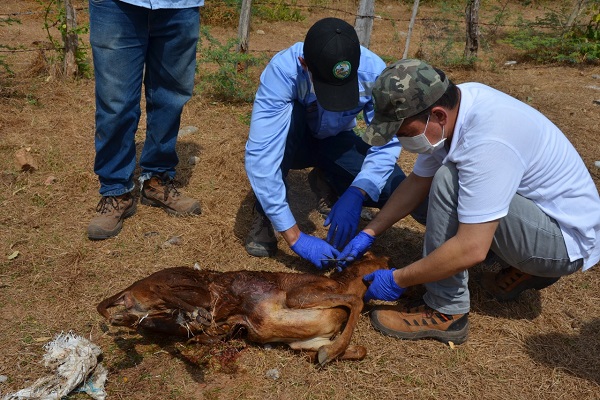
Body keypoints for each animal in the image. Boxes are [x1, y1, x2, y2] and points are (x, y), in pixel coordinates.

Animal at [97, 253, 390, 366]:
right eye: (374, 257)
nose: (390, 261)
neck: (343, 281)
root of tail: (133, 288)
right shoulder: (301, 295)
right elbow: (355, 302)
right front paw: (331, 353)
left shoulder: (305, 343)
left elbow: (358, 350)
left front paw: (324, 354)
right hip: (200, 289)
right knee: (165, 292)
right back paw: (200, 318)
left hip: (164, 318)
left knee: (145, 321)